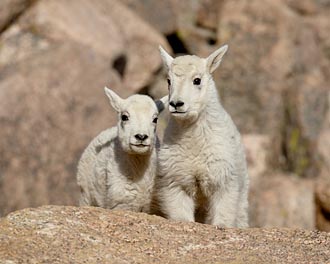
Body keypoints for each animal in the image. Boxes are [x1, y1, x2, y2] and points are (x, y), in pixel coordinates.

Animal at [153, 45, 249, 227]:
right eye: (168, 81)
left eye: (197, 80)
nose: (176, 104)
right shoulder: (177, 181)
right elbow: (181, 214)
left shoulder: (223, 180)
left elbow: (224, 213)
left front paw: (221, 226)